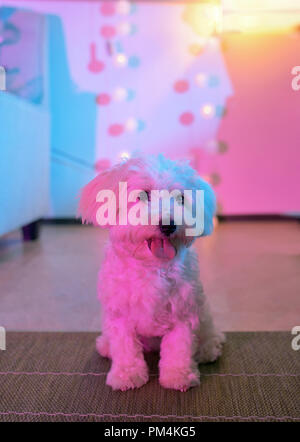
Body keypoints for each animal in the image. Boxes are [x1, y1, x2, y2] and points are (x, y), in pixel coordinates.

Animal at [78, 154, 224, 392]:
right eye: (143, 195)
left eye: (180, 198)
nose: (168, 224)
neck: (151, 266)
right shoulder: (120, 316)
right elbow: (125, 347)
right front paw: (127, 375)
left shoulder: (183, 312)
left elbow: (180, 347)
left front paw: (178, 375)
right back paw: (106, 345)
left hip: (204, 313)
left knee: (208, 332)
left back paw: (208, 348)